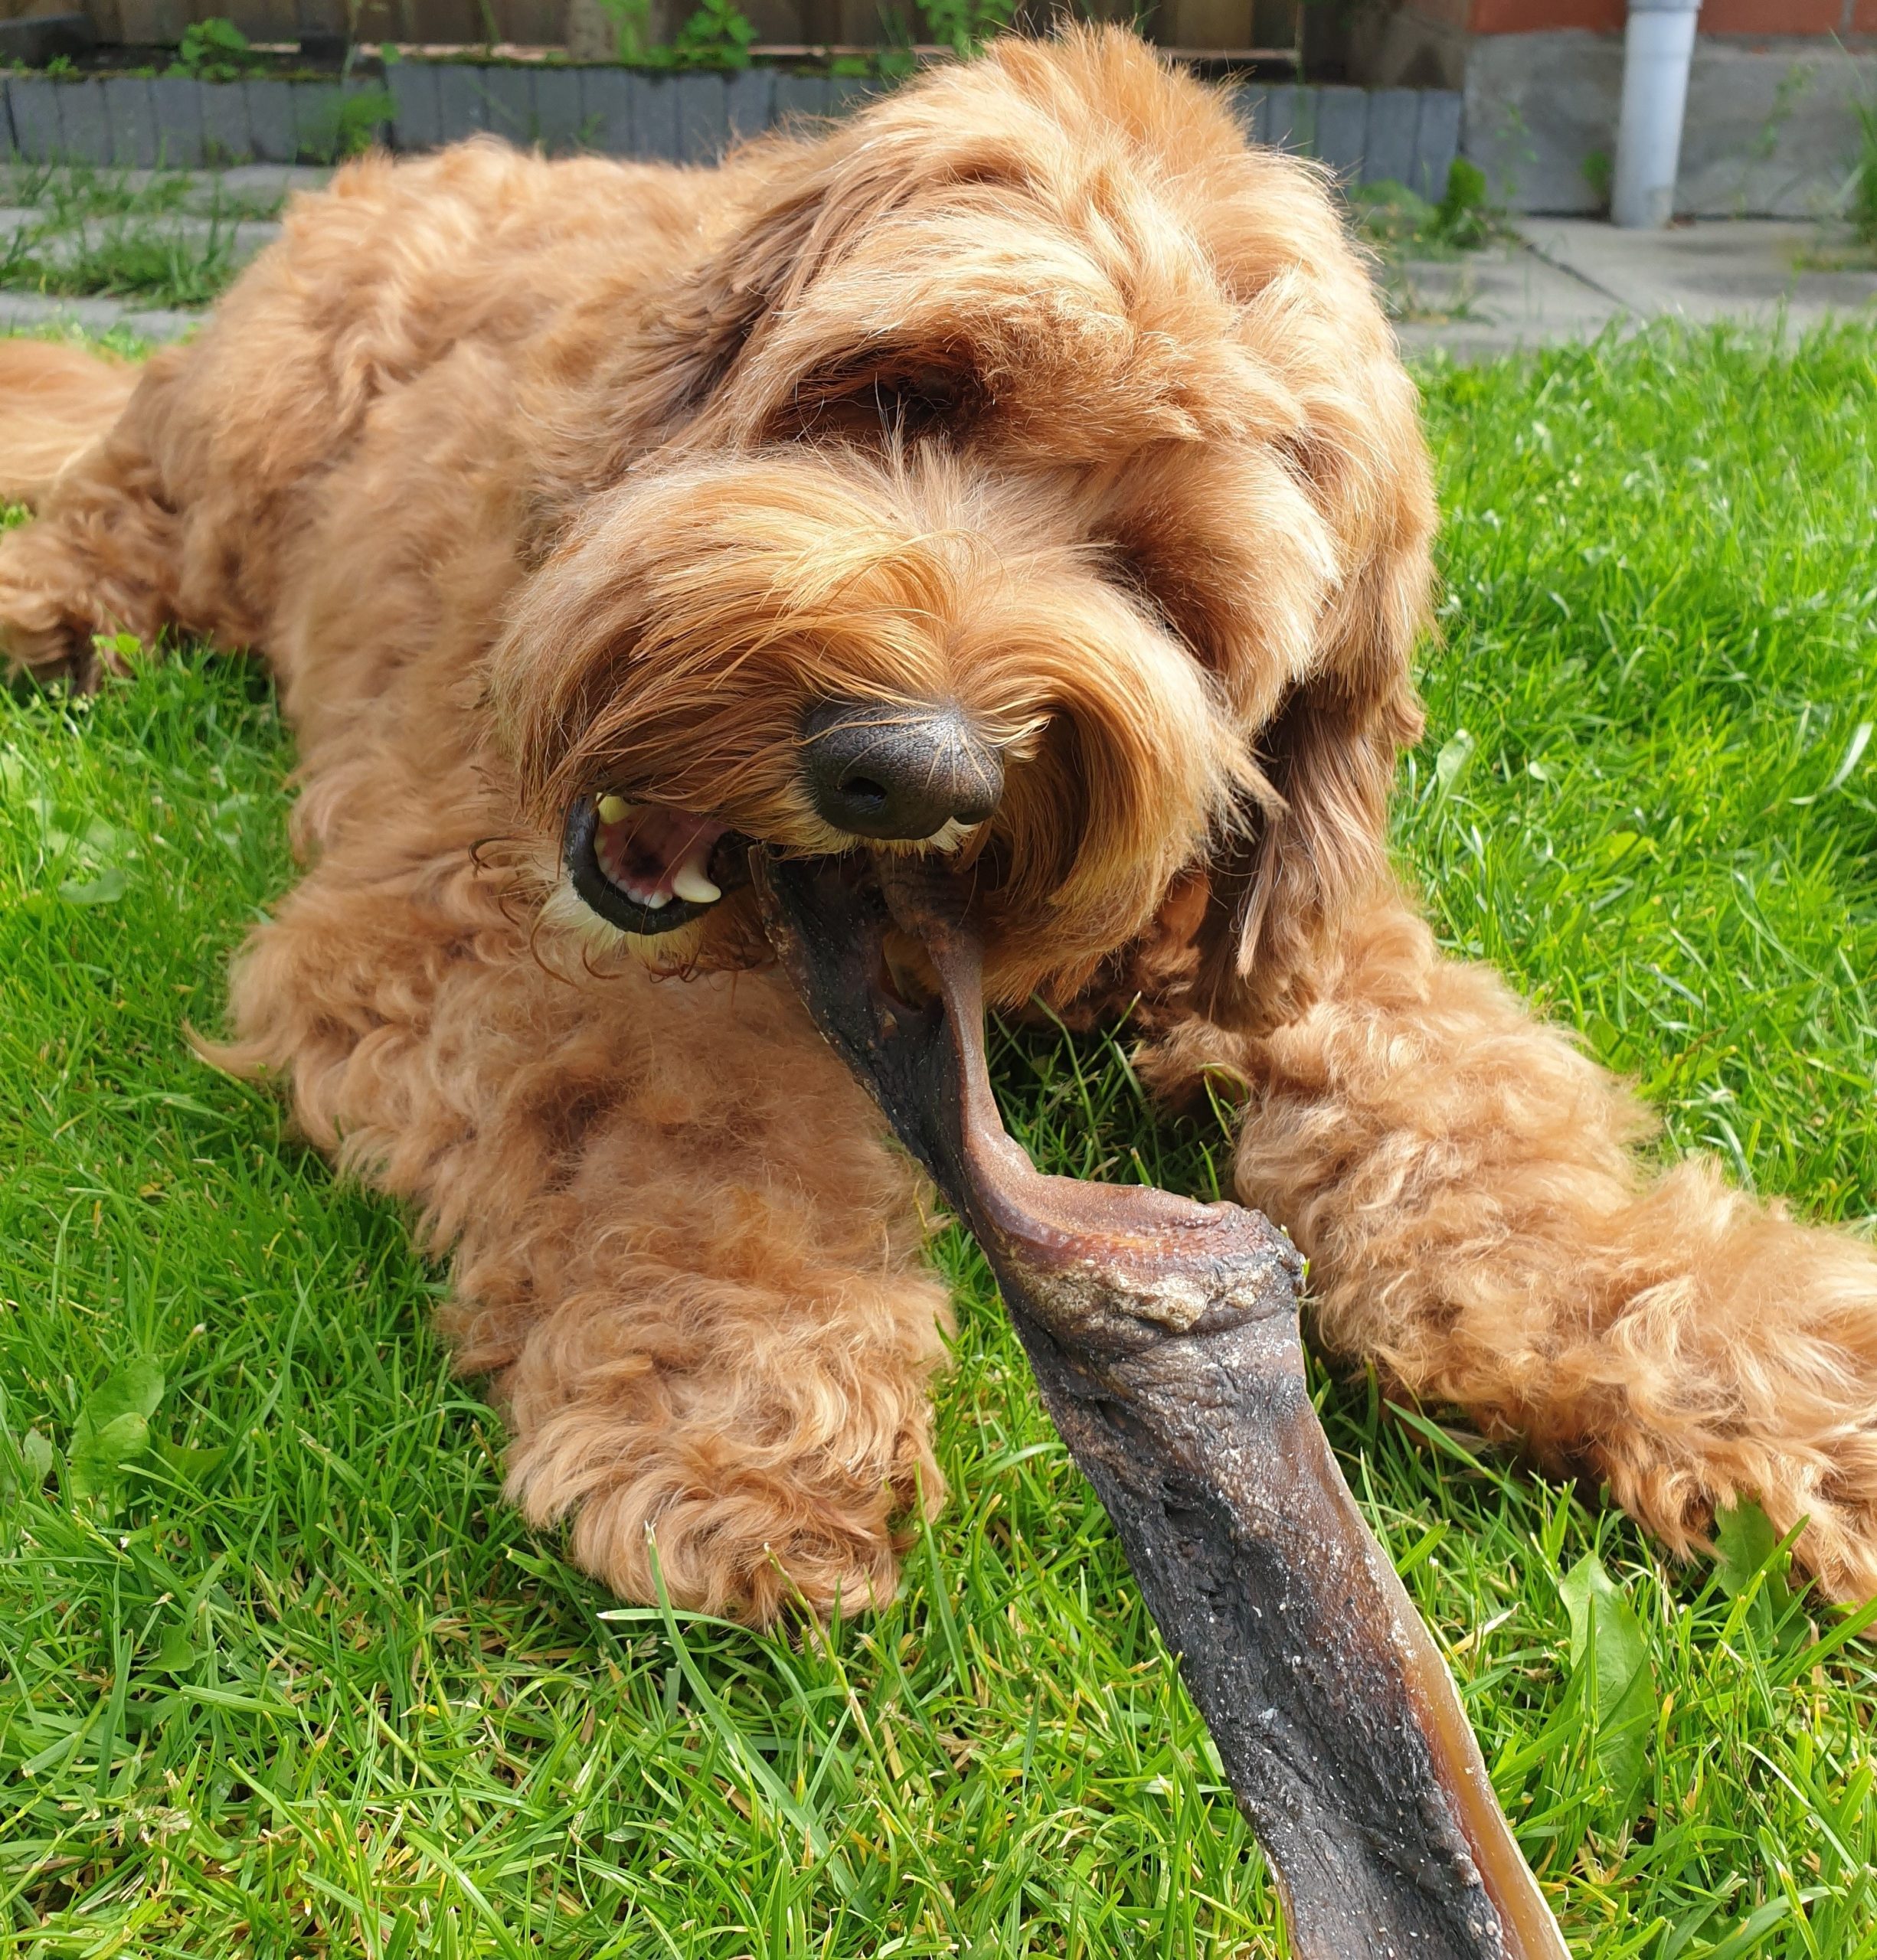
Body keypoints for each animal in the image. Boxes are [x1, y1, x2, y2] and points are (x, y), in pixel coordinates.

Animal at [3, 34, 1875, 1622]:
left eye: (1167, 578)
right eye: (905, 392)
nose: (904, 769)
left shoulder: (1300, 942)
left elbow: (1488, 1144)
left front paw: (1757, 1359)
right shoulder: (442, 914)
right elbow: (683, 1110)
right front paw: (749, 1393)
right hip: (251, 433)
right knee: (119, 500)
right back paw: (59, 610)